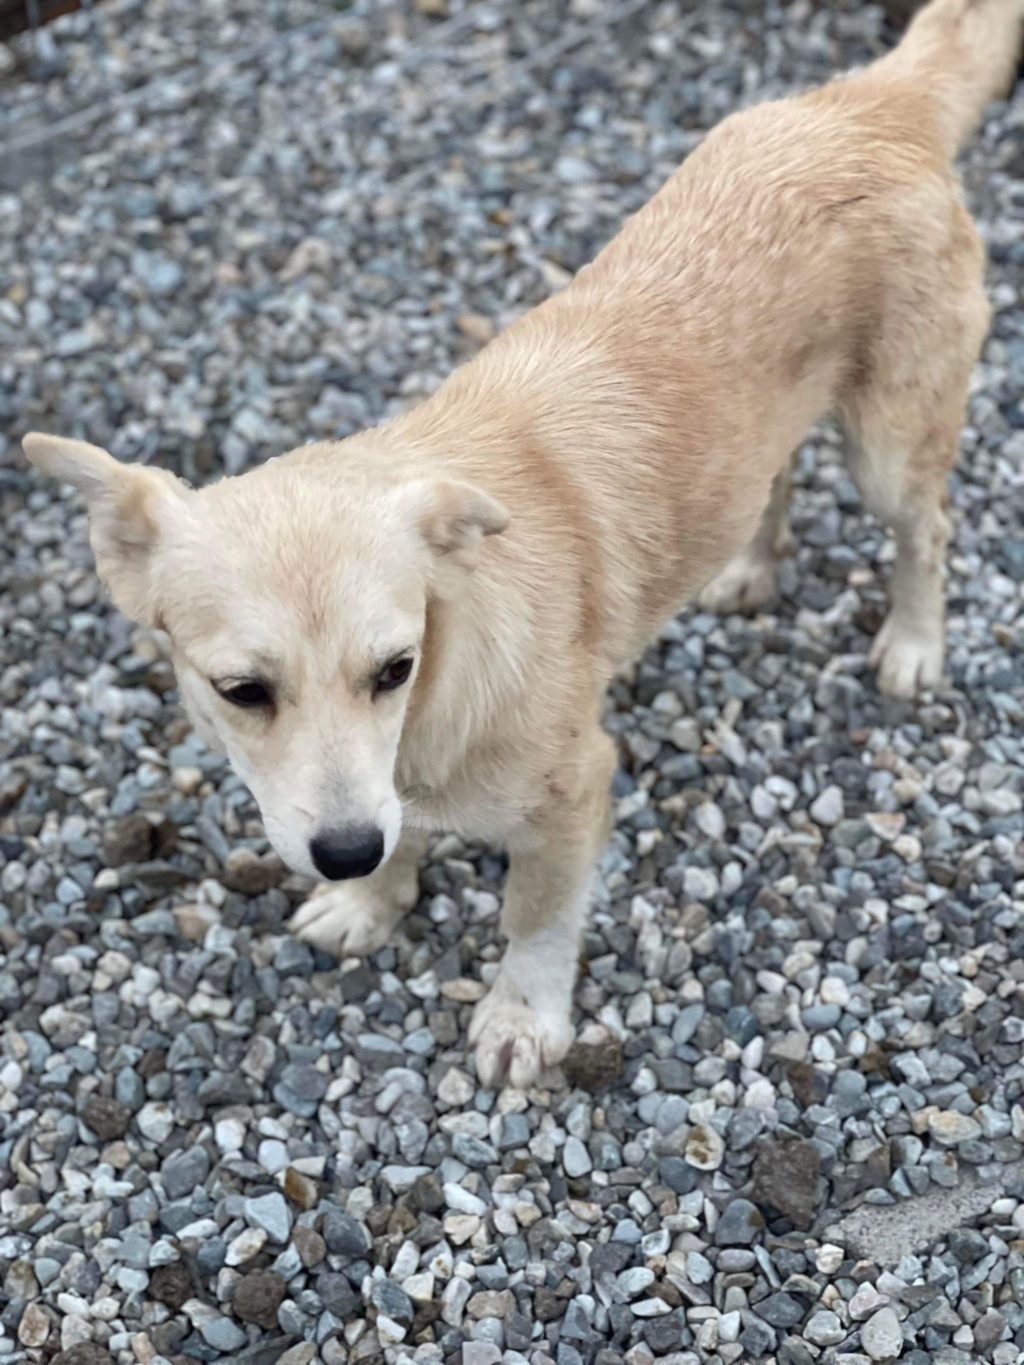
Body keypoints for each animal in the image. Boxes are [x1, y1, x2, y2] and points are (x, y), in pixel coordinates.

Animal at [24, 0, 1024, 1086]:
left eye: (394, 667)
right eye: (241, 691)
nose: (342, 853)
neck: (443, 683)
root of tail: (869, 99)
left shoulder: (572, 790)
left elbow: (535, 916)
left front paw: (523, 1015)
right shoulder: (380, 791)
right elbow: (400, 837)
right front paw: (372, 899)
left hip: (889, 444)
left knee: (926, 529)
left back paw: (914, 643)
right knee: (773, 480)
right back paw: (751, 567)